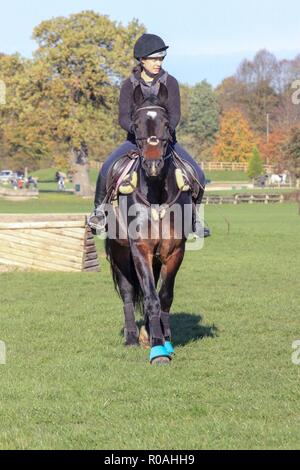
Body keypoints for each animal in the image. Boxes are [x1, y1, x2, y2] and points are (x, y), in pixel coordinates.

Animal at [105, 82, 195, 366]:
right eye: (136, 124)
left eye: (166, 124)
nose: (153, 164)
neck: (156, 194)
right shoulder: (140, 249)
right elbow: (149, 297)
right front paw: (157, 349)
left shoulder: (175, 250)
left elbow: (163, 296)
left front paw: (165, 339)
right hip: (120, 253)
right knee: (128, 292)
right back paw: (133, 337)